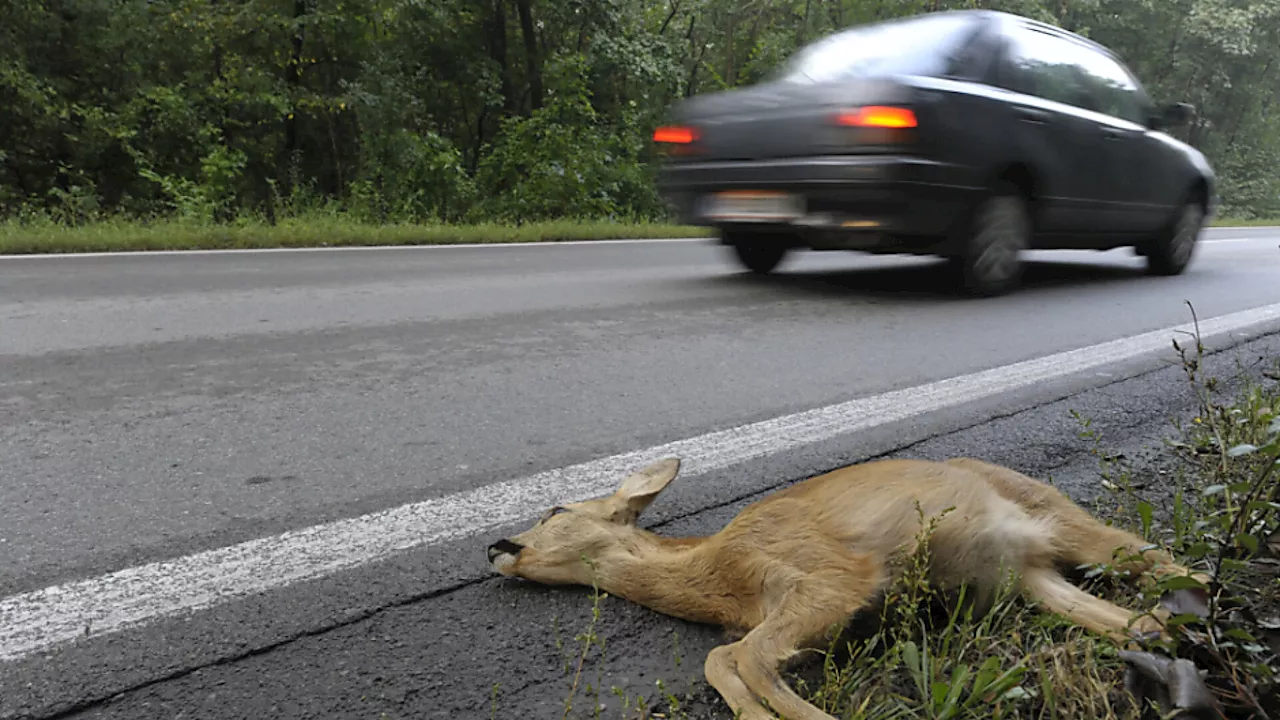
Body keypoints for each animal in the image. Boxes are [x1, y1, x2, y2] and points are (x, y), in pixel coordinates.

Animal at [483, 453, 1203, 717]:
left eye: (553, 511)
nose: (496, 546)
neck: (718, 573)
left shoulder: (836, 578)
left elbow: (742, 656)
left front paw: (802, 716)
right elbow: (726, 655)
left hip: (1059, 519)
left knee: (1173, 564)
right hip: (1025, 575)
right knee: (1146, 621)